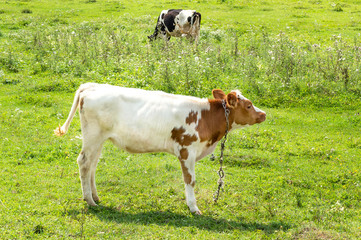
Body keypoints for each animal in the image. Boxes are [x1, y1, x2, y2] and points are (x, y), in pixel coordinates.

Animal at [54, 83, 266, 214]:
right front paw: (193, 208)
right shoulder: (186, 150)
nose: (263, 114)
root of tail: (91, 86)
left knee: (92, 165)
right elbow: (190, 180)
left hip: (99, 139)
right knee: (84, 162)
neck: (204, 117)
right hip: (93, 136)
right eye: (248, 105)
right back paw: (89, 200)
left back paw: (95, 197)